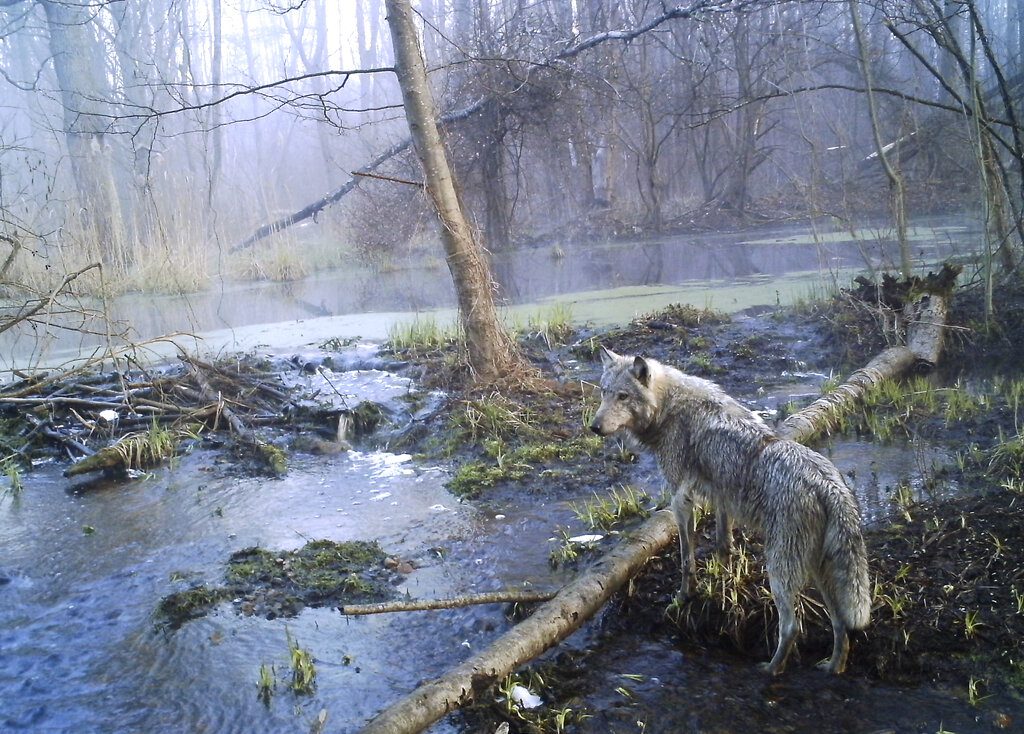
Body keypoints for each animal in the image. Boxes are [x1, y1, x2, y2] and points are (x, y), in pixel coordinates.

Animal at [589, 346, 868, 671]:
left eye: (623, 396)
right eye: (604, 392)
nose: (594, 427)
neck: (669, 408)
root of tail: (828, 484)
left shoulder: (681, 500)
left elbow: (686, 560)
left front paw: (684, 597)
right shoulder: (721, 497)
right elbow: (723, 545)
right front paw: (722, 583)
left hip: (780, 572)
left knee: (791, 626)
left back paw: (771, 670)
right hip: (818, 572)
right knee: (840, 624)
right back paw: (832, 667)